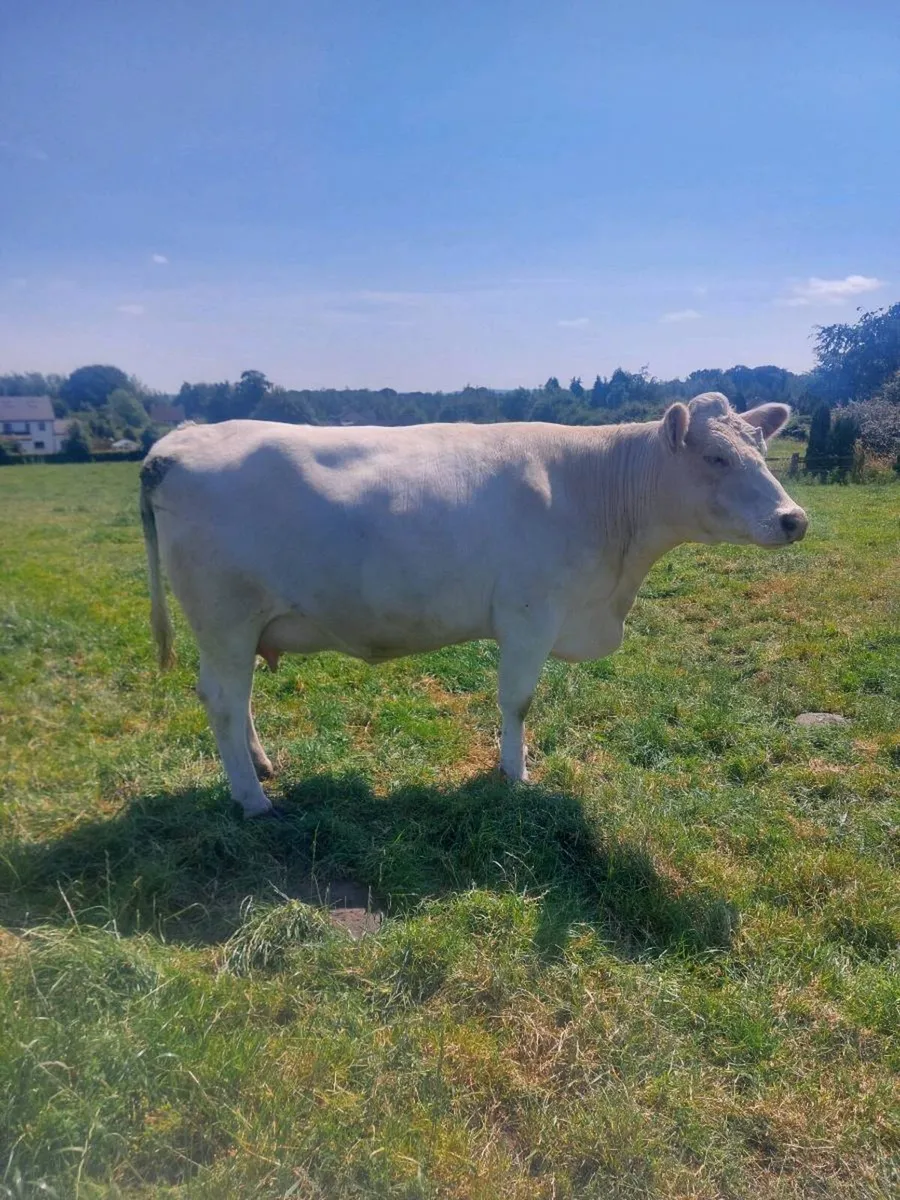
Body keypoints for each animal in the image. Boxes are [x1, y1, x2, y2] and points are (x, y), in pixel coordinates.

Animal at [140, 392, 807, 816]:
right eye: (716, 457)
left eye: (761, 451)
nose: (794, 518)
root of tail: (179, 440)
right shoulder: (530, 616)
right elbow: (518, 700)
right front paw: (515, 773)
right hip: (225, 618)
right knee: (224, 700)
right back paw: (253, 800)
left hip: (242, 627)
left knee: (239, 698)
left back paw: (261, 767)